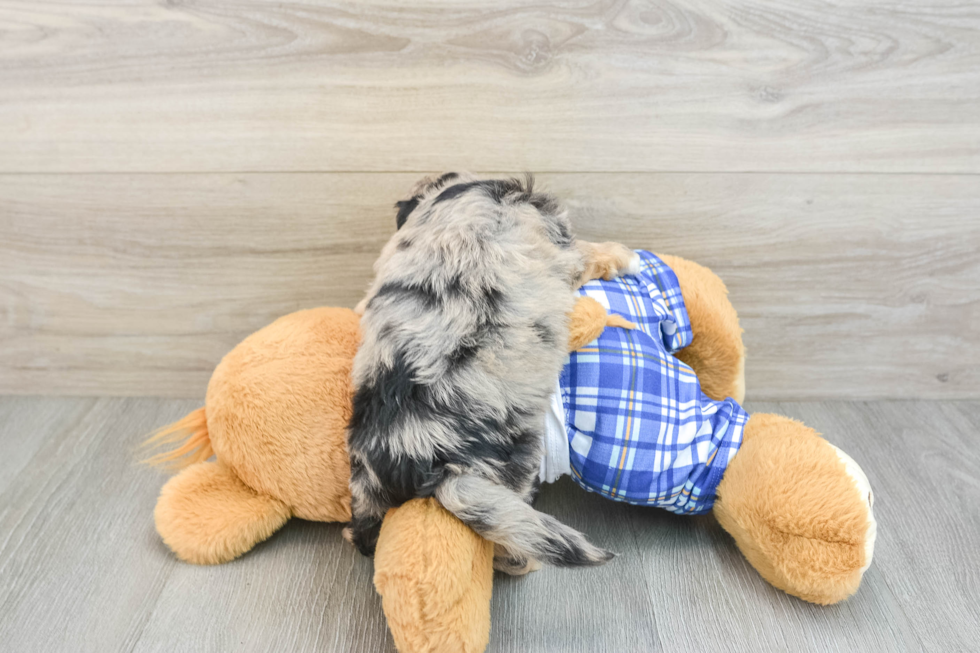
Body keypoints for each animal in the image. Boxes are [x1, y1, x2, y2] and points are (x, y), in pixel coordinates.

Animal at [348, 172, 640, 572]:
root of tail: (418, 456)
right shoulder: (564, 251)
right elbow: (590, 253)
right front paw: (626, 255)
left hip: (366, 485)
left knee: (359, 533)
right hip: (510, 466)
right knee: (515, 548)